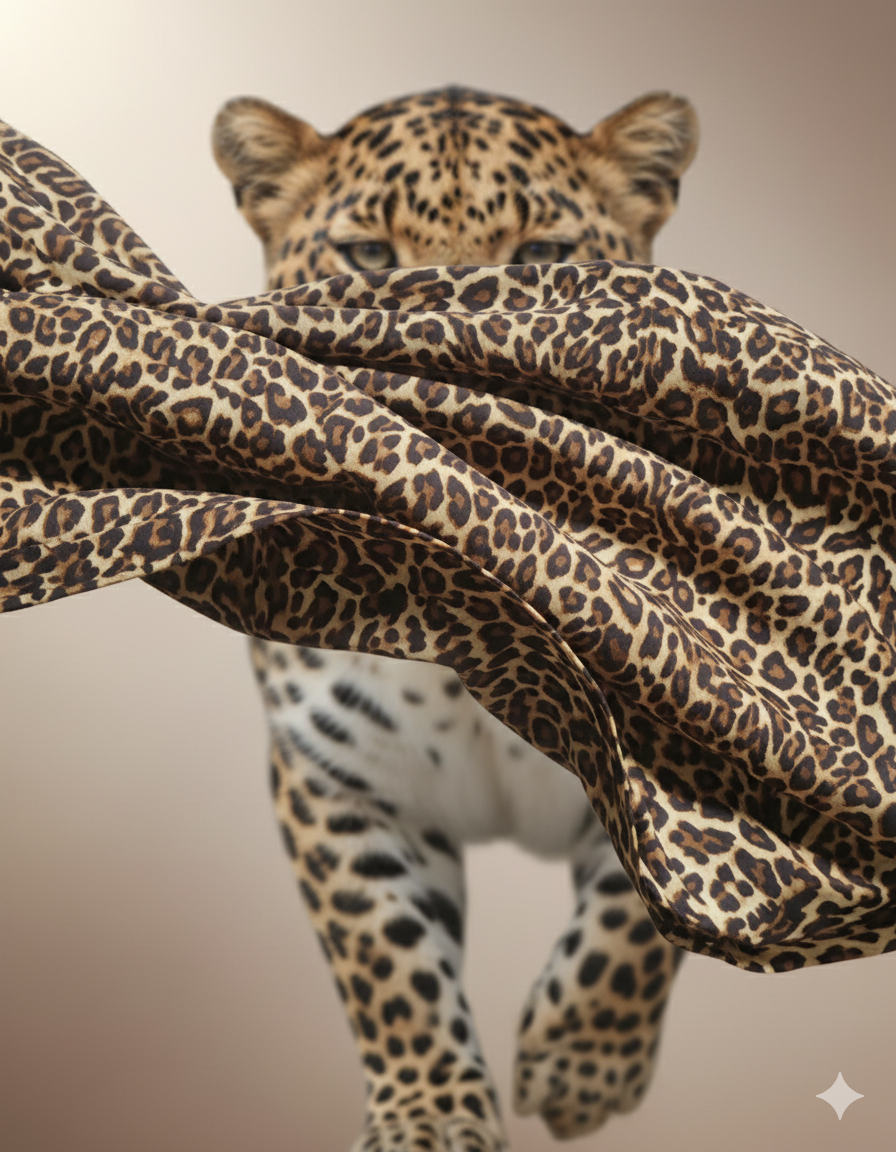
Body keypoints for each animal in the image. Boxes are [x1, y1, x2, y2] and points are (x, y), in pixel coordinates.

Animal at [213, 86, 698, 1151]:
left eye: (543, 257)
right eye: (368, 257)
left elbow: (634, 922)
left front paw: (579, 1066)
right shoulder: (339, 776)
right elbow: (386, 959)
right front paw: (430, 1116)